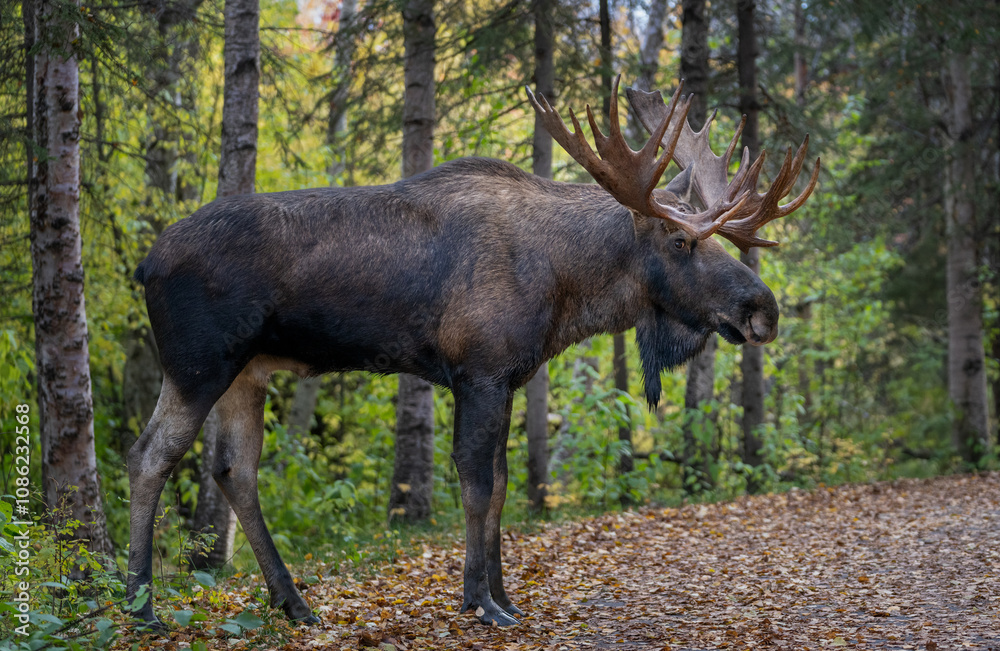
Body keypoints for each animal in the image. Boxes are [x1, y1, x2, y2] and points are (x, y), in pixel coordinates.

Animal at [125, 76, 818, 628]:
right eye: (681, 241)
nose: (764, 308)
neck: (566, 286)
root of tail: (144, 264)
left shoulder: (508, 377)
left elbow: (505, 483)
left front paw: (504, 595)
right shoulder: (477, 371)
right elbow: (477, 482)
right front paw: (480, 602)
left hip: (249, 372)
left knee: (234, 470)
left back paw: (293, 603)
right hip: (198, 363)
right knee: (150, 455)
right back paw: (142, 607)